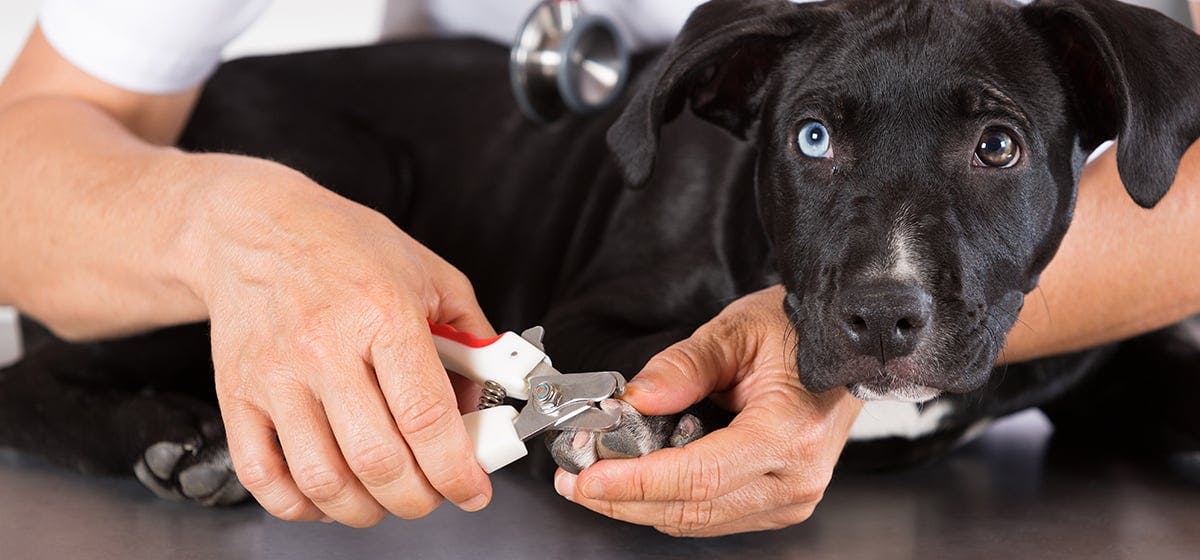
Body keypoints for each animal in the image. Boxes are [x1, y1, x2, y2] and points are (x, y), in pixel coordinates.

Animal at [2, 0, 1200, 508]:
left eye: (997, 145)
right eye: (811, 137)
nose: (880, 313)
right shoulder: (592, 314)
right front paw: (646, 422)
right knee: (35, 372)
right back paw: (172, 441)